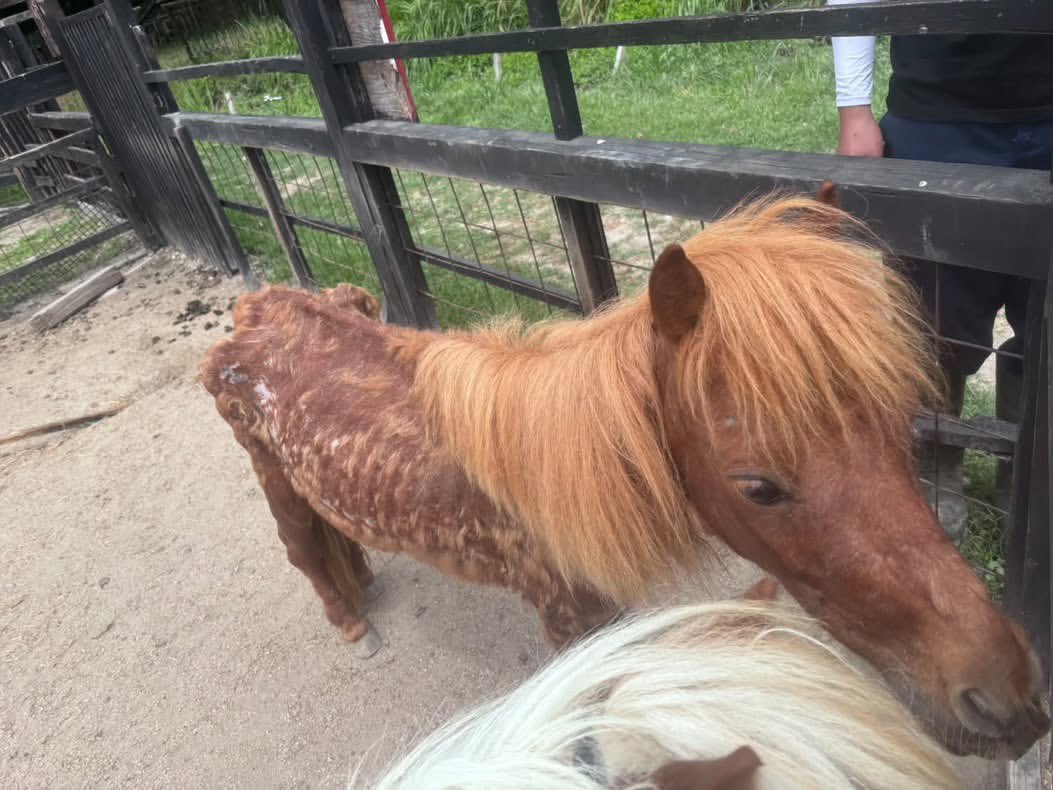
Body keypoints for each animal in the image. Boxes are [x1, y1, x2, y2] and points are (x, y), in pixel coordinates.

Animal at [200, 195, 1048, 758]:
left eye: (898, 426)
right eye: (757, 487)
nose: (1006, 695)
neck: (553, 475)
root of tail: (256, 311)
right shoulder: (569, 623)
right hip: (272, 479)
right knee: (305, 552)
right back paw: (353, 624)